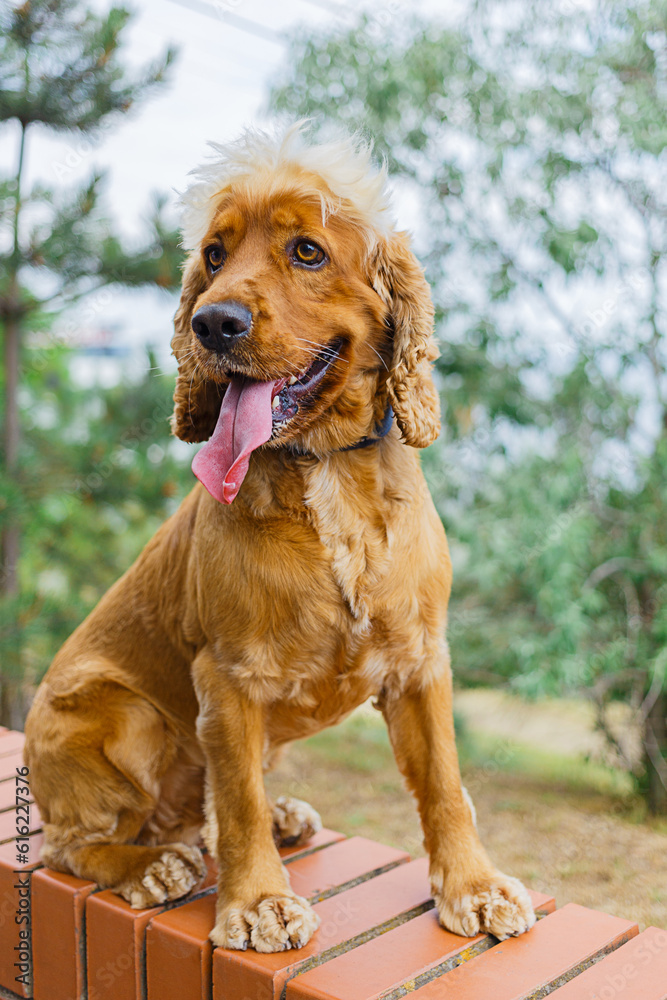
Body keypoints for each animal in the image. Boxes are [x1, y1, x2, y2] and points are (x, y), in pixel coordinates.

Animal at [24, 123, 536, 952]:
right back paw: (149, 865)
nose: (212, 323)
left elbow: (445, 783)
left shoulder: (421, 661)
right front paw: (259, 903)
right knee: (71, 844)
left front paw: (473, 886)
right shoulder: (228, 678)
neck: (326, 470)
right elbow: (235, 804)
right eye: (213, 254)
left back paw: (273, 816)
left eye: (307, 251)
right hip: (118, 714)